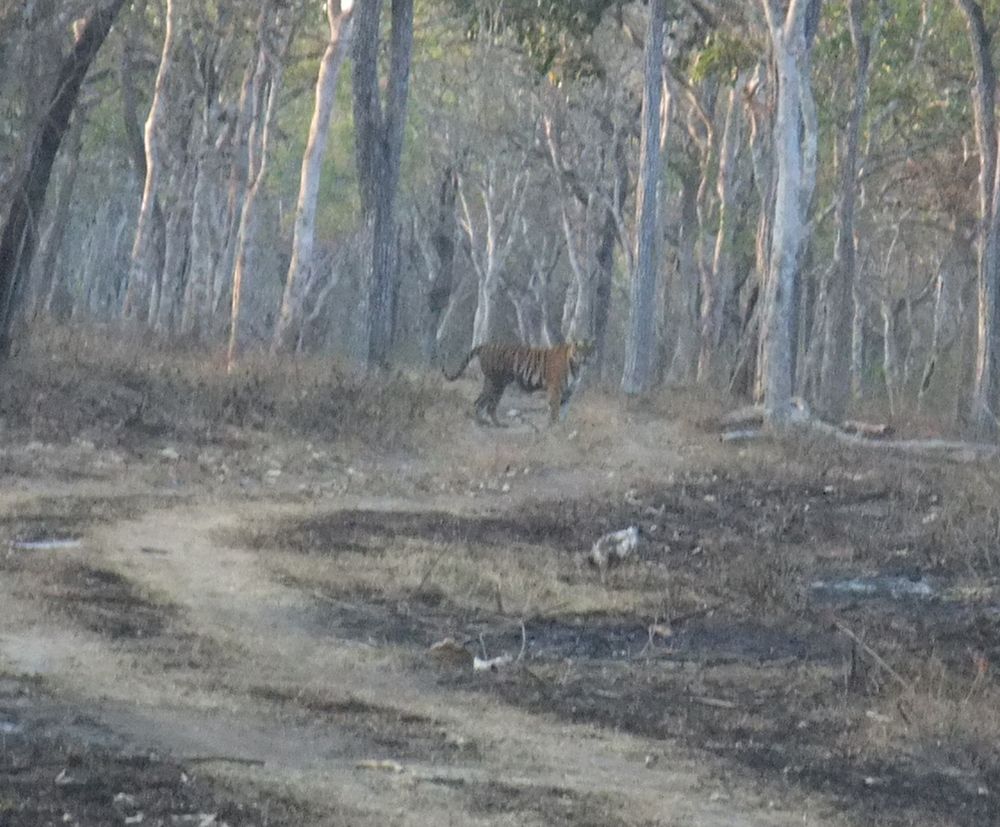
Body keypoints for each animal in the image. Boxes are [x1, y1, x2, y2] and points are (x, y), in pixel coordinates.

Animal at [443, 340, 595, 426]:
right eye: (581, 351)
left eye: (589, 351)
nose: (586, 358)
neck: (576, 366)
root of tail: (485, 345)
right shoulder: (555, 390)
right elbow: (555, 411)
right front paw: (554, 427)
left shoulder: (568, 393)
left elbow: (564, 412)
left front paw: (562, 428)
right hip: (496, 383)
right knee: (484, 403)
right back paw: (484, 423)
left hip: (495, 383)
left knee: (483, 403)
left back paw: (492, 423)